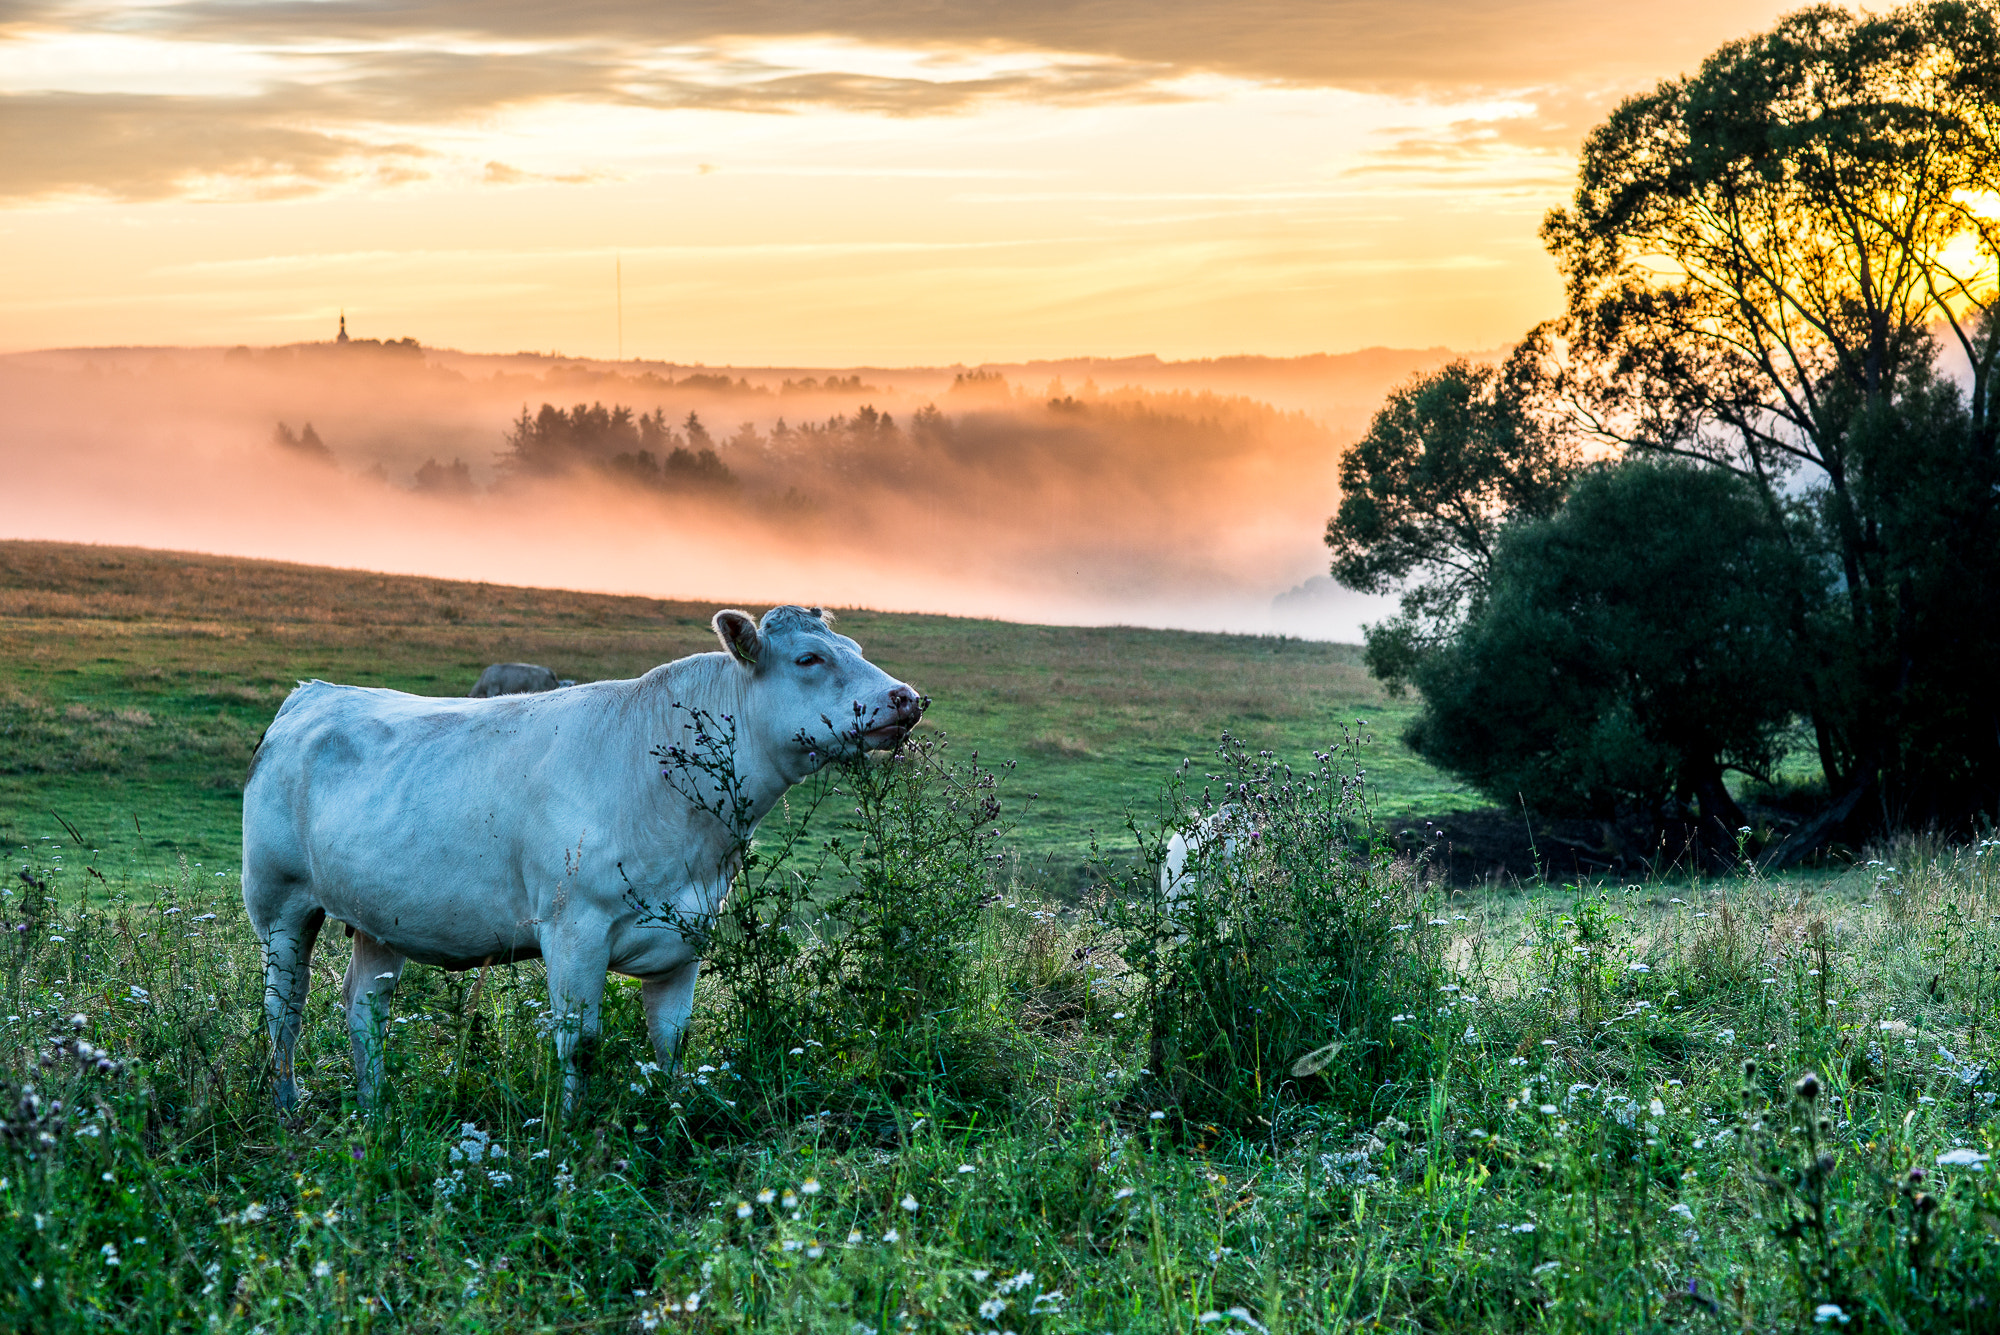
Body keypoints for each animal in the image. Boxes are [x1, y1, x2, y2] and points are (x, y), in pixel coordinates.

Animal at [242, 611, 920, 1111]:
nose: (906, 696)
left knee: (364, 1010)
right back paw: (287, 1107)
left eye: (854, 646)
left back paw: (377, 1109)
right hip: (280, 905)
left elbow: (671, 1042)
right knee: (284, 1010)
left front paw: (672, 1117)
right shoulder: (574, 929)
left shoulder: (687, 934)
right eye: (809, 658)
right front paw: (569, 1133)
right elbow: (581, 1045)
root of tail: (314, 693)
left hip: (380, 917)